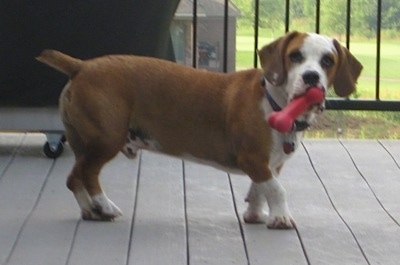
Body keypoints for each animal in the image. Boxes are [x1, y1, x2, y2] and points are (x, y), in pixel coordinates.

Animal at [36, 31, 362, 228]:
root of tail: (82, 66)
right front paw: (281, 217)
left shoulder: (268, 164)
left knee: (73, 177)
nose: (311, 77)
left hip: (84, 142)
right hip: (106, 139)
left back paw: (91, 210)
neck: (276, 102)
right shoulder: (254, 159)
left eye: (327, 61)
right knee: (87, 174)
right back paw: (105, 205)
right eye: (295, 56)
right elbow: (277, 190)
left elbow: (260, 188)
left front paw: (255, 214)